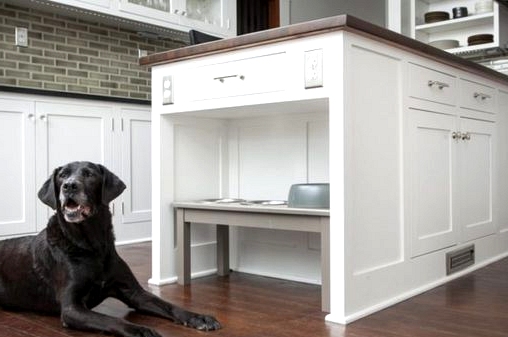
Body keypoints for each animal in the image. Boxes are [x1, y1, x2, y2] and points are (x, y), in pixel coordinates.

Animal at [0, 161, 220, 334]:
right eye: (62, 175)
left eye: (89, 174)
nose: (69, 186)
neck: (92, 245)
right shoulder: (71, 308)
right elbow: (110, 319)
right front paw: (141, 330)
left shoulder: (135, 293)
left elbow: (169, 305)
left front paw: (198, 317)